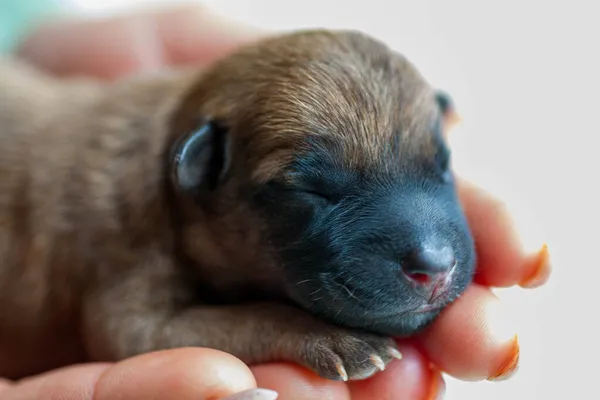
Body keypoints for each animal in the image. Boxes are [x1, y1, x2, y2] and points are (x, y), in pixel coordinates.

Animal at [0, 30, 474, 382]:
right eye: (310, 190)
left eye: (443, 168)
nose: (434, 267)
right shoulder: (127, 275)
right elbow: (246, 316)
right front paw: (334, 340)